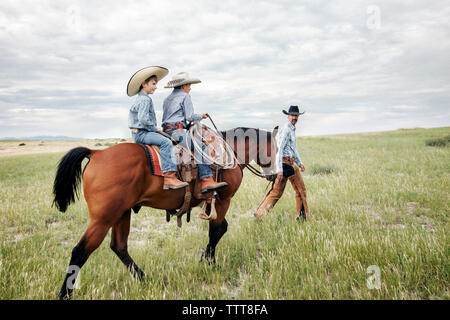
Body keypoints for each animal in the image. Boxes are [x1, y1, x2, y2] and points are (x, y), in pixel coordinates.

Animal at [52, 125, 278, 300]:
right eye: (275, 150)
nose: (275, 175)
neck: (229, 152)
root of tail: (96, 153)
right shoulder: (223, 200)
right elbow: (216, 231)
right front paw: (210, 262)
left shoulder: (213, 203)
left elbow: (219, 229)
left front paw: (205, 258)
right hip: (103, 219)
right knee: (81, 251)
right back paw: (65, 293)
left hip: (122, 213)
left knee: (119, 247)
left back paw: (144, 278)